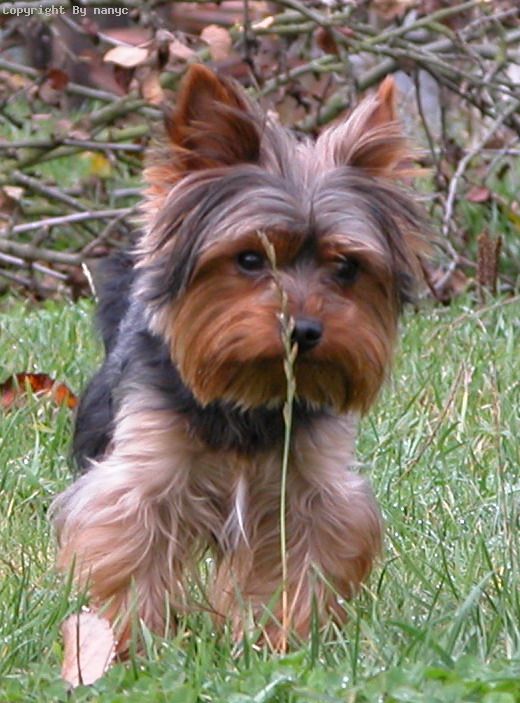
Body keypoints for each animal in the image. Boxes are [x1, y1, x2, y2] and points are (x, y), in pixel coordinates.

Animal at [52, 64, 425, 651]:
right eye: (249, 259)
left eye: (346, 267)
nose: (304, 330)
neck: (249, 395)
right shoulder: (143, 477)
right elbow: (131, 551)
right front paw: (130, 644)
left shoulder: (310, 488)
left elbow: (306, 561)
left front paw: (287, 641)